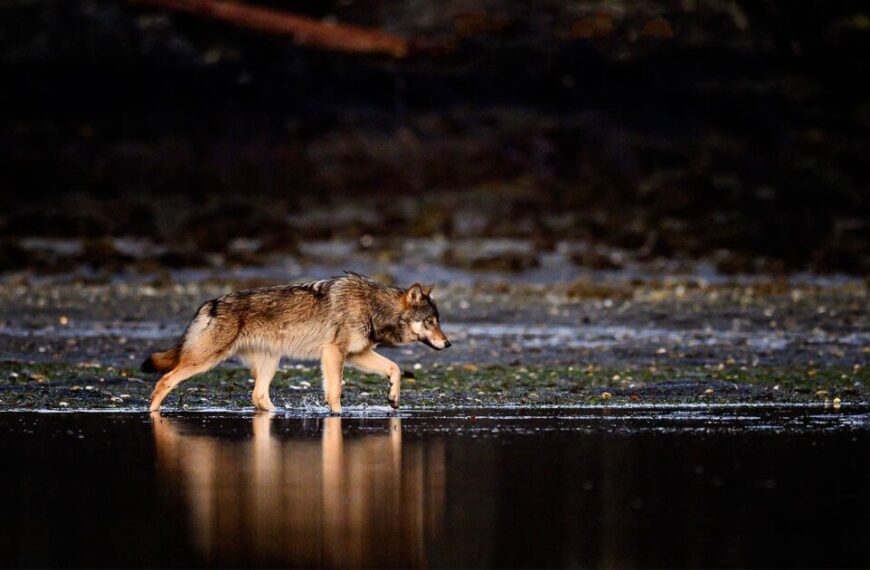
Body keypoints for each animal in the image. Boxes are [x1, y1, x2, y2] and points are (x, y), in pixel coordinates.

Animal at [142, 273, 450, 414]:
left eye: (438, 320)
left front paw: (393, 397)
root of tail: (209, 304)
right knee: (164, 381)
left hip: (271, 362)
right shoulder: (334, 352)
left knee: (259, 396)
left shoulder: (357, 354)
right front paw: (337, 416)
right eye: (430, 321)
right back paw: (152, 413)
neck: (373, 306)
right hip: (204, 361)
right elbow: (335, 390)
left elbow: (394, 368)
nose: (448, 344)